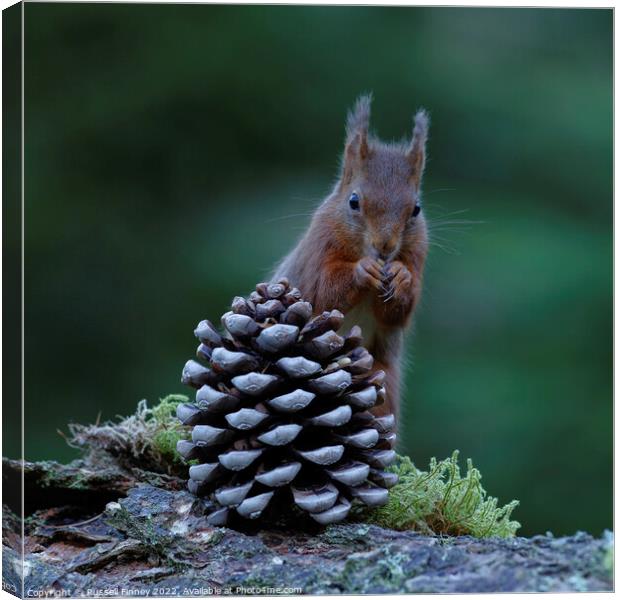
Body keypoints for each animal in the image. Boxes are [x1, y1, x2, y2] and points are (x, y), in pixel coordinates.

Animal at [274, 95, 428, 422]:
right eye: (354, 202)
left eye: (416, 209)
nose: (385, 246)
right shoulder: (318, 248)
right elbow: (323, 294)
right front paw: (362, 271)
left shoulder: (419, 253)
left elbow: (398, 313)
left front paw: (402, 277)